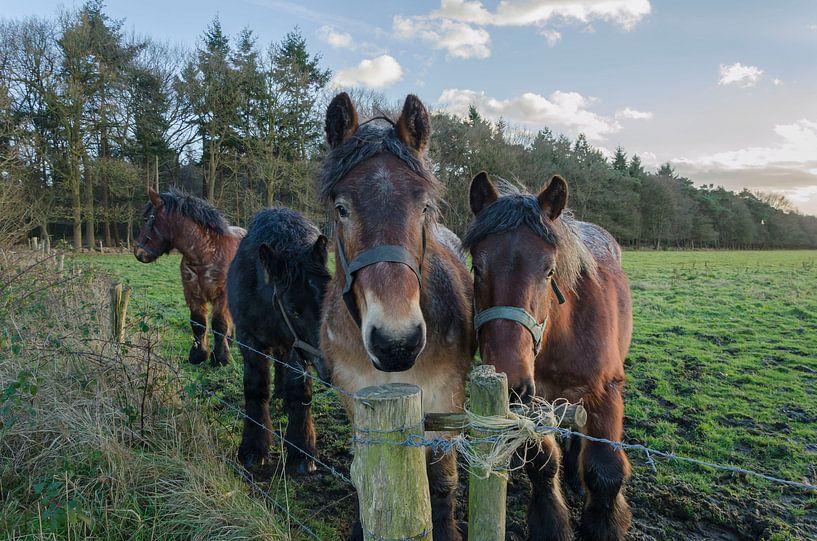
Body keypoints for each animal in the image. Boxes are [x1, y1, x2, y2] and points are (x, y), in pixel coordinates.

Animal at [131, 187, 242, 368]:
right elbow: (198, 324)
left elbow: (219, 325)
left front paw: (220, 359)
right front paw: (198, 355)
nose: (138, 252)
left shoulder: (222, 296)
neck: (206, 254)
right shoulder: (193, 294)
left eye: (148, 219)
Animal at [225, 208, 330, 472]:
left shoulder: (296, 349)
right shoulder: (249, 340)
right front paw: (254, 448)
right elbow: (256, 389)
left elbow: (300, 391)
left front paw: (302, 450)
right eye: (293, 310)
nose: (331, 367)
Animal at [318, 94, 472, 540]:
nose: (396, 342)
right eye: (342, 208)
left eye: (423, 207)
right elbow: (362, 472)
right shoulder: (355, 397)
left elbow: (443, 478)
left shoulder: (445, 399)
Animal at [462, 174, 636, 540]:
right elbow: (542, 465)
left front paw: (604, 525)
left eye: (549, 271)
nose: (512, 382)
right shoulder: (535, 400)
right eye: (477, 267)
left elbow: (605, 471)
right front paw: (551, 524)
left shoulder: (607, 392)